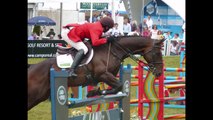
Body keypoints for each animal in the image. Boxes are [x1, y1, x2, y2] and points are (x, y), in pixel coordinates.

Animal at [27, 36, 165, 111]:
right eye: (157, 53)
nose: (159, 72)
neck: (114, 50)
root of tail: (32, 67)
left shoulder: (108, 76)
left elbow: (117, 87)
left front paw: (95, 92)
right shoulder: (103, 75)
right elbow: (119, 86)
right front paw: (95, 92)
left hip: (41, 96)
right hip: (34, 95)